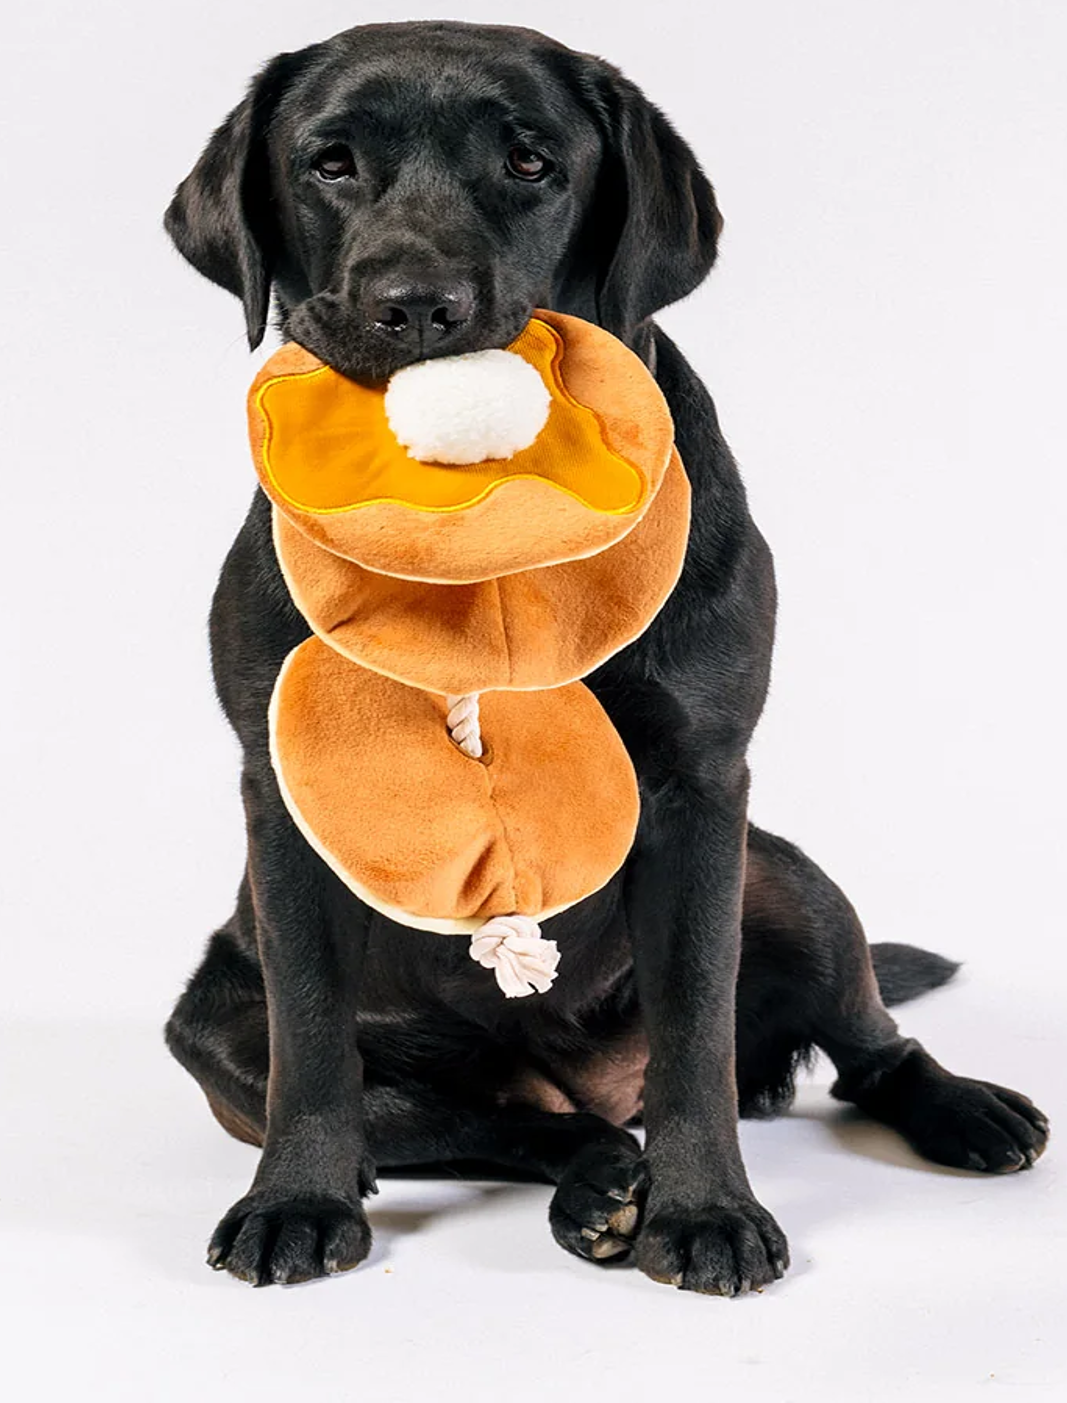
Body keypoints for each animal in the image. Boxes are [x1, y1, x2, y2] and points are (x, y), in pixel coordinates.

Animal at [164, 19, 1048, 1290]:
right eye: (329, 163)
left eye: (531, 163)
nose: (414, 305)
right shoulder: (278, 802)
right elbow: (314, 1036)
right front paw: (295, 1197)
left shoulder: (698, 785)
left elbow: (692, 1028)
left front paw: (705, 1210)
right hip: (213, 1027)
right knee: (512, 1119)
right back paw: (596, 1185)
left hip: (784, 875)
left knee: (869, 1038)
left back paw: (956, 1108)